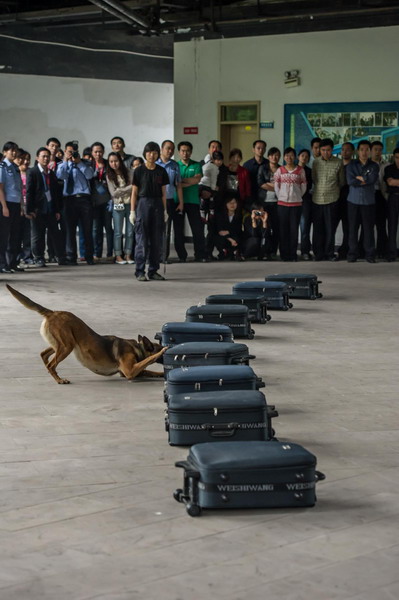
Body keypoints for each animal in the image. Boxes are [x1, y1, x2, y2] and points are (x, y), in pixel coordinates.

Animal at [7, 284, 167, 384]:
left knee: (44, 355)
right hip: (67, 346)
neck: (138, 348)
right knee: (52, 364)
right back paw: (59, 380)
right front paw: (161, 352)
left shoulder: (131, 371)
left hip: (60, 344)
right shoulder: (130, 371)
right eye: (160, 347)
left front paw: (162, 374)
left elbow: (150, 370)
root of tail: (53, 312)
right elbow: (149, 360)